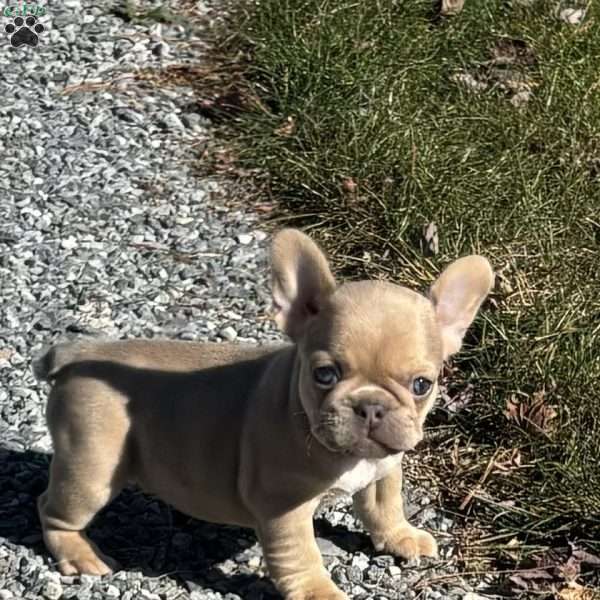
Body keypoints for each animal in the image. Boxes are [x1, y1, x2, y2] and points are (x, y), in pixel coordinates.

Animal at [34, 229, 492, 600]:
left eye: (422, 385)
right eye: (325, 374)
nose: (371, 406)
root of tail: (77, 353)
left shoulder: (382, 471)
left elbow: (385, 507)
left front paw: (402, 537)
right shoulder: (283, 505)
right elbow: (301, 556)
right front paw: (319, 592)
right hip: (92, 468)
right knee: (52, 508)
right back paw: (79, 555)